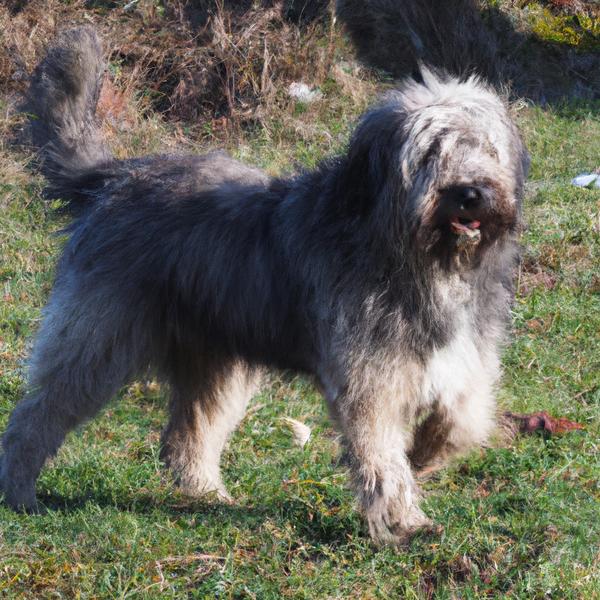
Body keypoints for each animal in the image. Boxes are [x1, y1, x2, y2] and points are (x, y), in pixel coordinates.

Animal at [0, 28, 524, 548]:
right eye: (431, 151)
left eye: (487, 148)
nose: (471, 193)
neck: (423, 262)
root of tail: (113, 178)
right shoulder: (368, 377)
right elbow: (379, 452)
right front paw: (401, 522)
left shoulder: (464, 355)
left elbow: (467, 416)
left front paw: (427, 453)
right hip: (99, 339)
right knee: (38, 412)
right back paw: (20, 493)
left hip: (214, 359)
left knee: (189, 432)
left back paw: (207, 493)